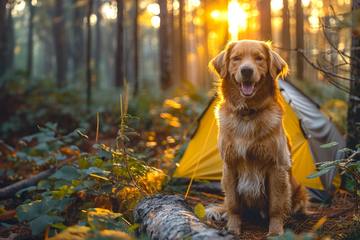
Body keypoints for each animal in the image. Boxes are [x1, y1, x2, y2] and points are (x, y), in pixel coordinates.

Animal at [207, 39, 308, 236]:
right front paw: (233, 228)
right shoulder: (229, 165)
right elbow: (233, 204)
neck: (247, 114)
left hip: (298, 190)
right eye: (236, 58)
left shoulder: (276, 167)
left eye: (259, 58)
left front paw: (275, 231)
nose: (246, 70)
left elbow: (276, 207)